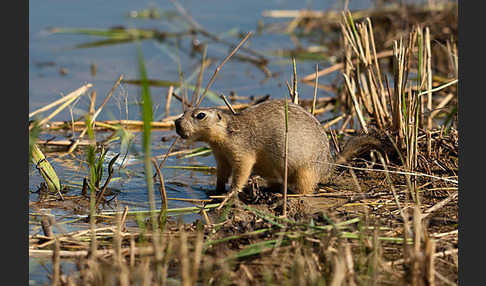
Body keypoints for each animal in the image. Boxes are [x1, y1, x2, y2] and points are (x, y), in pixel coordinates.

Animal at [175, 99, 388, 196]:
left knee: (305, 190)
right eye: (185, 111)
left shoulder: (241, 150)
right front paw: (216, 189)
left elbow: (242, 169)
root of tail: (328, 165)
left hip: (306, 171)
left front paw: (231, 193)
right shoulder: (220, 155)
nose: (176, 123)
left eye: (200, 115)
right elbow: (222, 172)